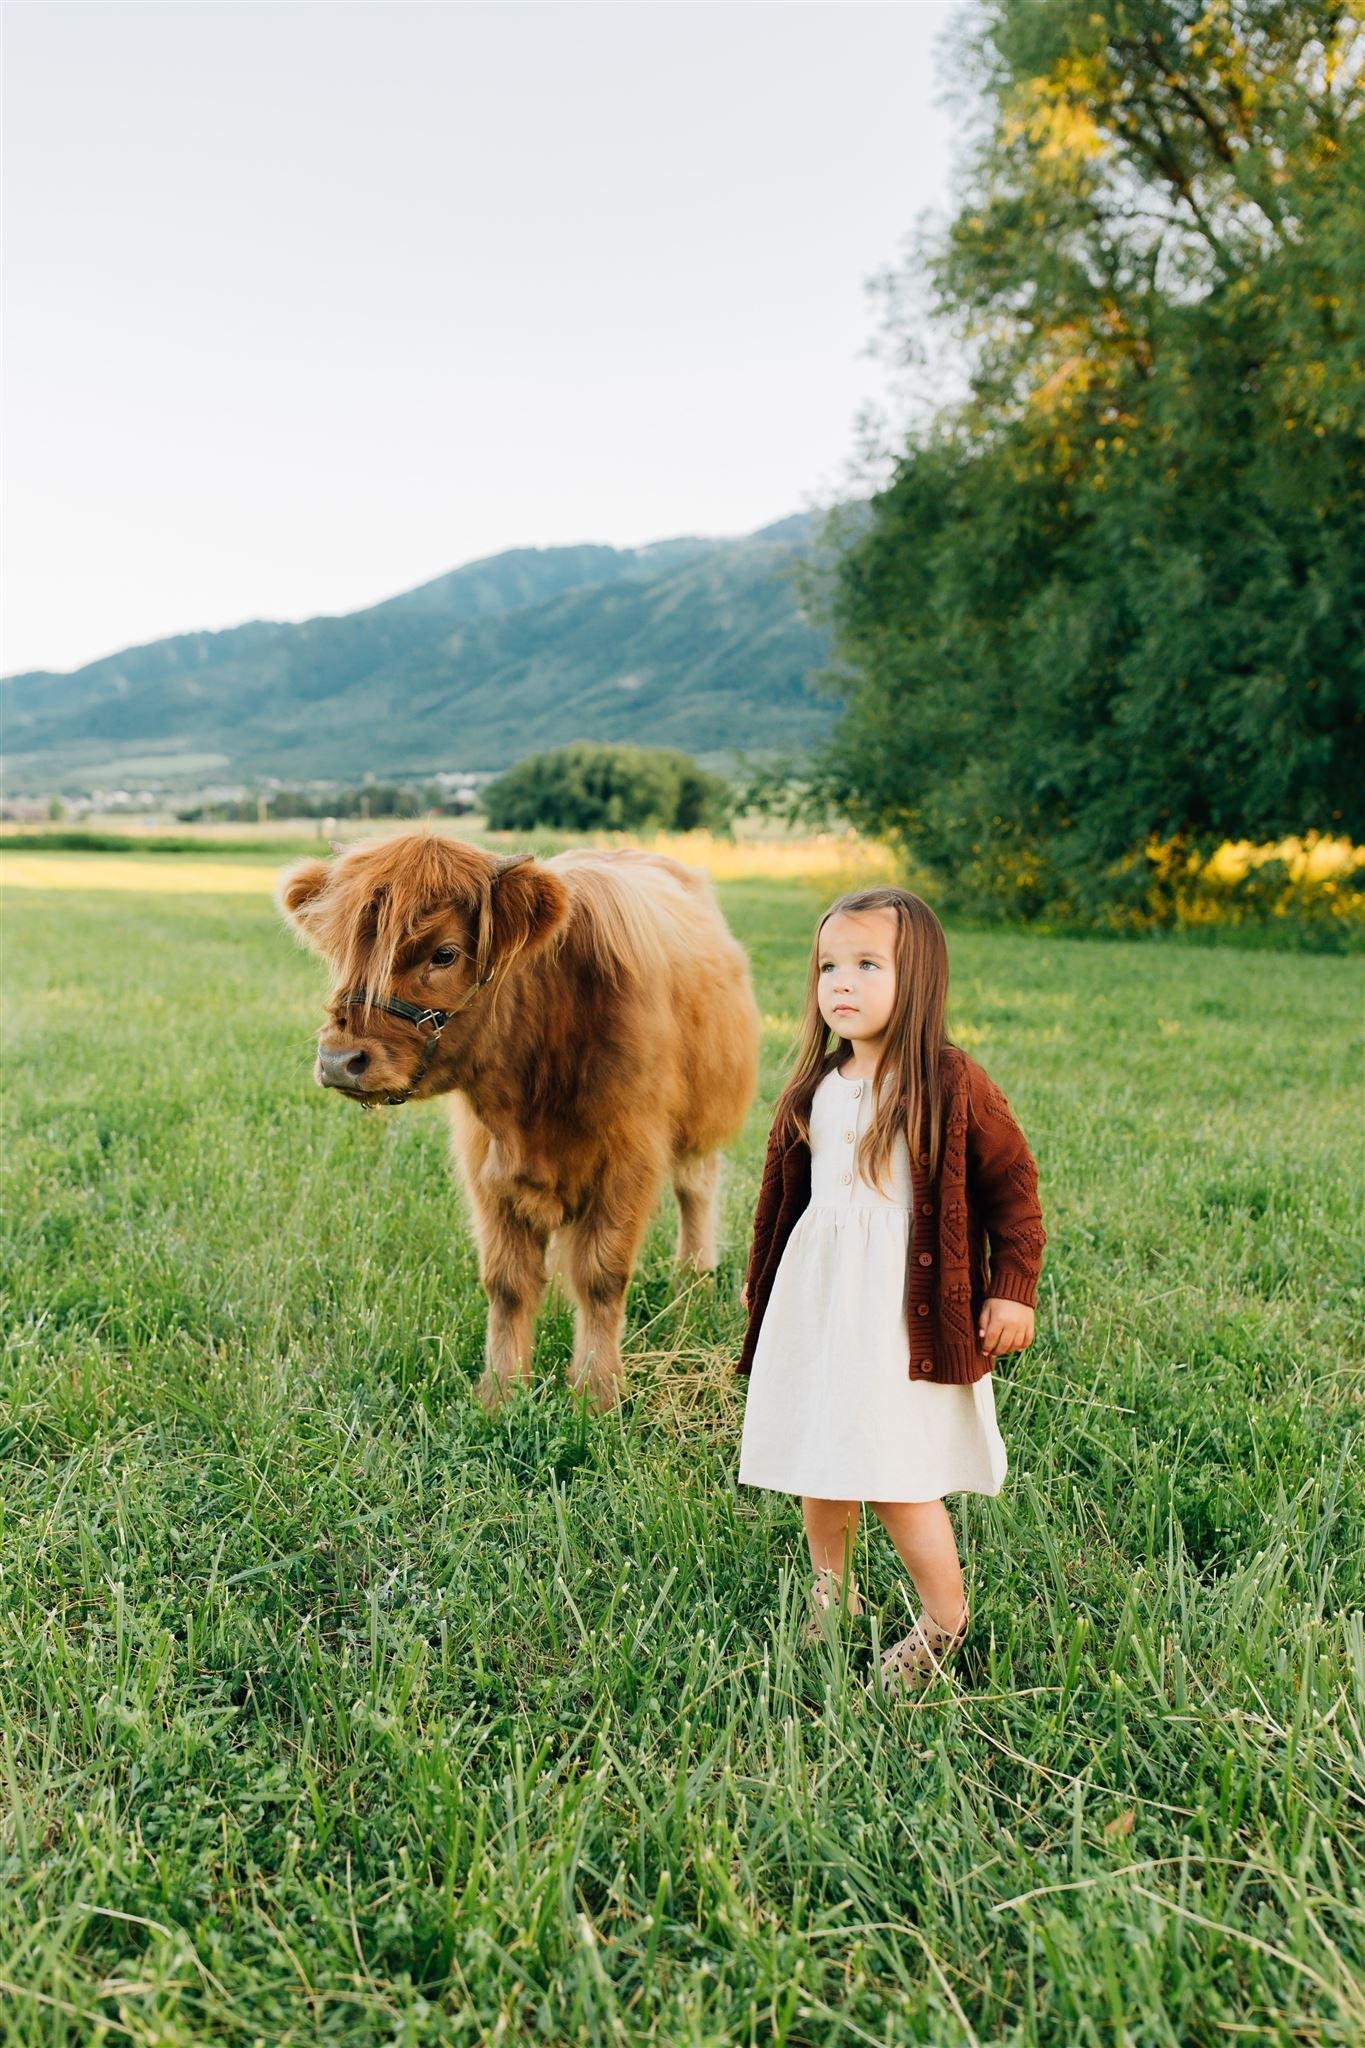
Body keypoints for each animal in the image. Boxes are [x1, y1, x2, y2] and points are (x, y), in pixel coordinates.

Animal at [276, 831, 757, 1409]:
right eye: (343, 950)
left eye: (444, 954)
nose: (338, 1059)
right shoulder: (488, 1167)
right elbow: (507, 1283)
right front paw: (501, 1392)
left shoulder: (630, 1157)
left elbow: (601, 1274)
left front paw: (595, 1391)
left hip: (704, 1114)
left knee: (696, 1188)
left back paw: (693, 1281)